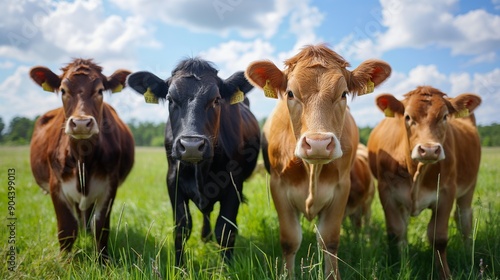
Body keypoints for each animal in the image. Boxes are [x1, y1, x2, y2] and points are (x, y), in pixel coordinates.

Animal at [29, 58, 134, 260]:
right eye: (63, 90)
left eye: (100, 90)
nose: (81, 123)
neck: (83, 159)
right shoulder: (56, 186)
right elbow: (66, 229)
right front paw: (64, 262)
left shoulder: (109, 186)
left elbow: (100, 228)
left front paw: (102, 261)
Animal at [127, 58, 260, 264]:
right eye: (170, 99)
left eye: (216, 99)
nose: (191, 145)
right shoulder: (173, 181)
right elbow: (182, 227)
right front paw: (179, 266)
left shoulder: (234, 183)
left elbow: (225, 228)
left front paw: (227, 266)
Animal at [245, 44, 390, 278]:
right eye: (290, 93)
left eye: (344, 93)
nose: (318, 143)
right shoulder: (278, 186)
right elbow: (290, 240)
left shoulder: (341, 188)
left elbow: (329, 240)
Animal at [368, 86, 480, 278]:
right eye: (407, 117)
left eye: (445, 116)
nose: (429, 150)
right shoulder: (386, 191)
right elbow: (397, 232)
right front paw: (401, 267)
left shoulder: (446, 192)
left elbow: (439, 237)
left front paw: (445, 274)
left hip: (469, 187)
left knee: (464, 218)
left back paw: (468, 254)